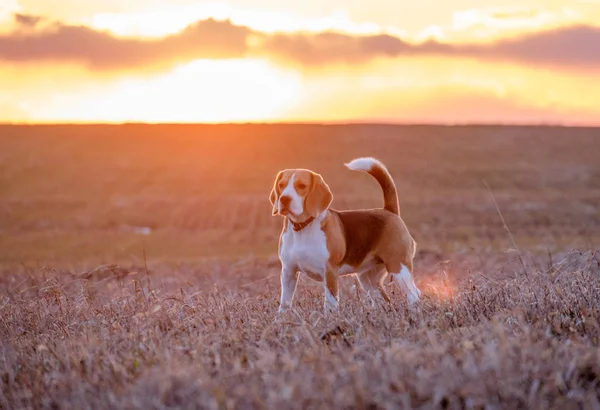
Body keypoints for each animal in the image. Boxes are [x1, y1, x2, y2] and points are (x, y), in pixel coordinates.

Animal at [270, 157, 420, 314]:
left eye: (301, 185)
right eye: (281, 185)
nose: (284, 199)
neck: (303, 228)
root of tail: (389, 211)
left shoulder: (329, 273)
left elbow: (330, 304)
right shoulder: (288, 273)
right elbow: (284, 304)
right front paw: (282, 319)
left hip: (399, 269)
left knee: (414, 294)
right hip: (368, 278)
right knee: (384, 299)